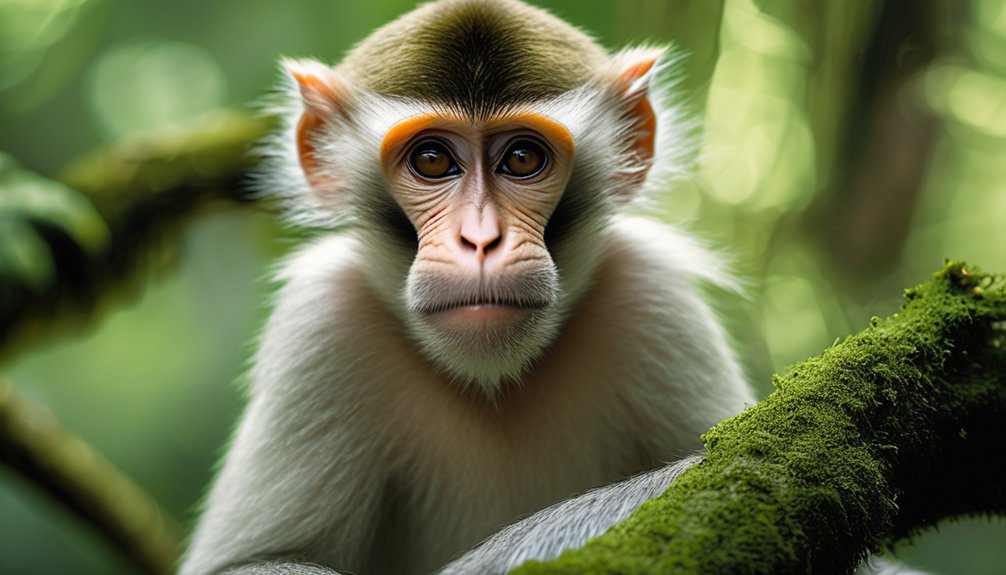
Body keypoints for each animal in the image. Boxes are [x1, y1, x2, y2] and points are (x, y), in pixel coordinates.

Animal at [179, 1, 759, 573]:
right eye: (432, 160)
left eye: (523, 158)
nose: (480, 239)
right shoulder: (321, 325)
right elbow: (256, 563)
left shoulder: (653, 295)